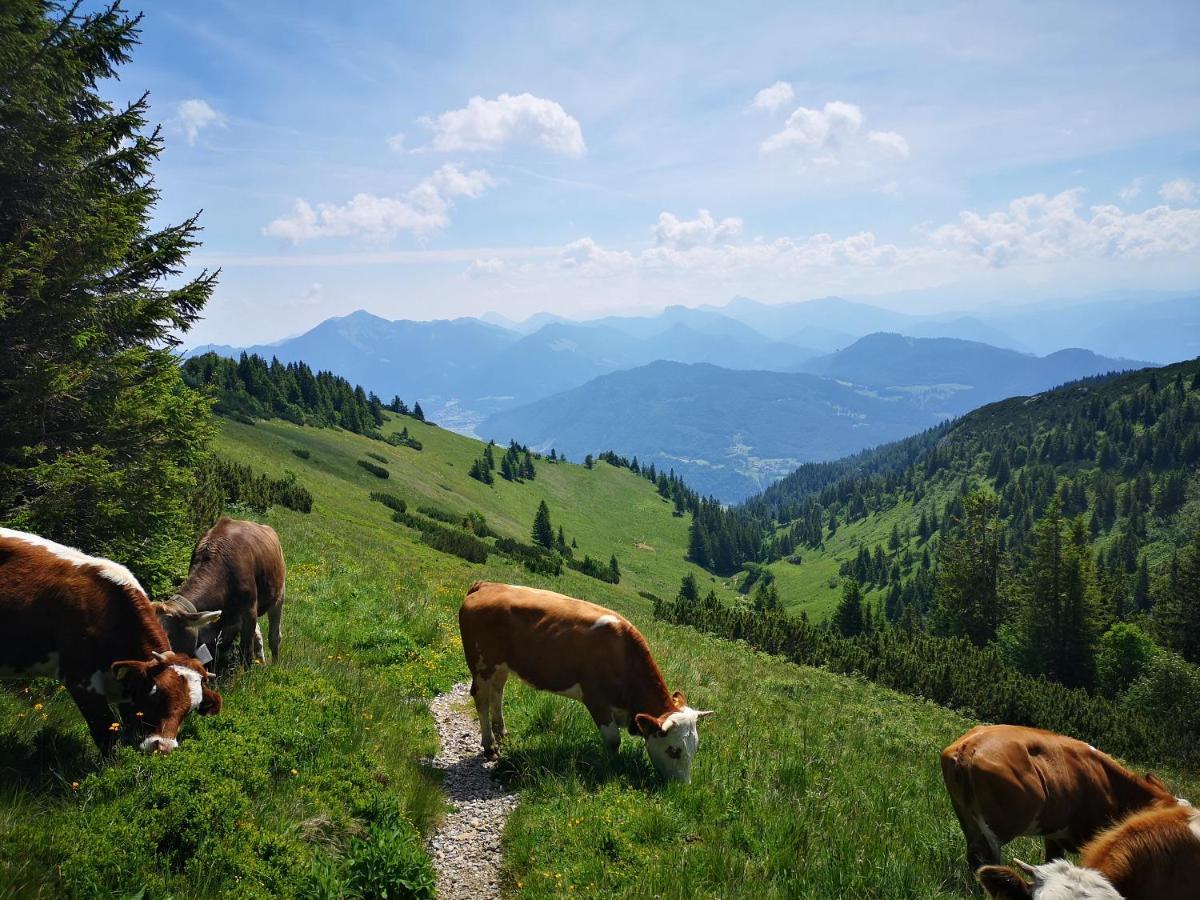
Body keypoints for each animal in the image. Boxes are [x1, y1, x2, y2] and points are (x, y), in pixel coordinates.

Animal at [154, 520, 285, 672]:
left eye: (168, 636)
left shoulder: (249, 611)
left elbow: (246, 652)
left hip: (279, 594)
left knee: (274, 636)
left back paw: (274, 664)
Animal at [453, 585, 705, 782]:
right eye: (674, 750)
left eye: (695, 748)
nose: (682, 786)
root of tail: (486, 585)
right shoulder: (596, 699)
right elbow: (613, 740)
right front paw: (613, 767)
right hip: (482, 663)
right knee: (481, 698)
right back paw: (490, 746)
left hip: (501, 665)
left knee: (497, 693)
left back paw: (502, 734)